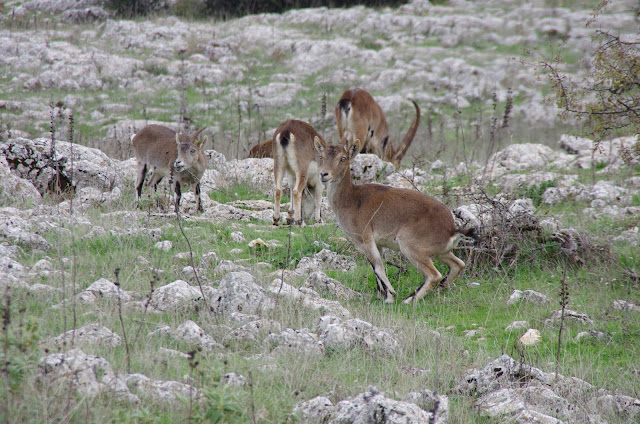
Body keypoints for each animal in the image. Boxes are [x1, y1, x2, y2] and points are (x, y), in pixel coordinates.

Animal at [312, 134, 478, 304]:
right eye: (321, 156)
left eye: (343, 158)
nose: (324, 174)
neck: (351, 200)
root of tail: (451, 228)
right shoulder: (378, 244)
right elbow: (376, 268)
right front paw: (381, 294)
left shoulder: (365, 240)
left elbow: (377, 266)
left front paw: (390, 296)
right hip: (441, 252)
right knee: (458, 264)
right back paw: (442, 287)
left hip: (411, 247)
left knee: (433, 275)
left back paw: (409, 300)